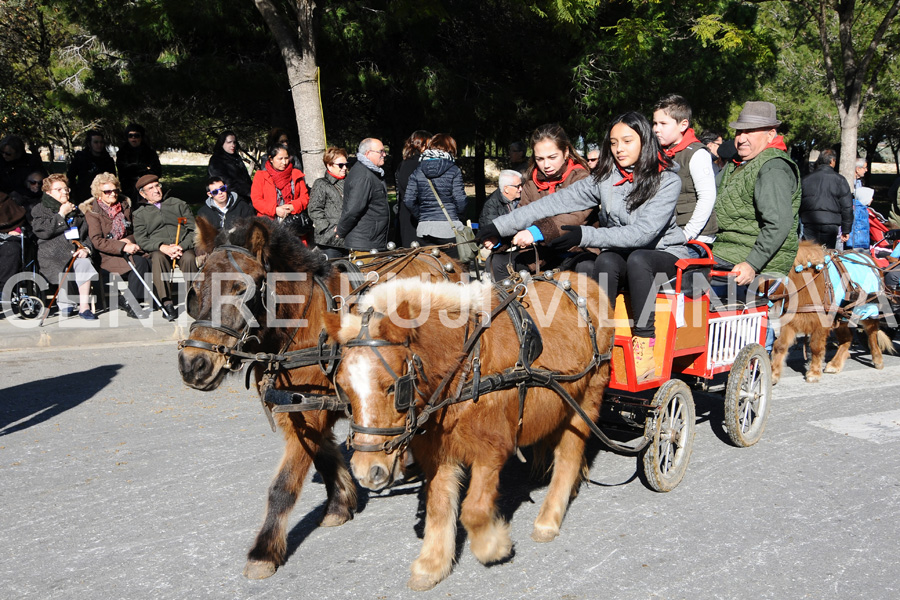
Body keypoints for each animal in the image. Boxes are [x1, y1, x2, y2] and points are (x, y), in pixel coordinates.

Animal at [178, 218, 458, 580]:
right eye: (196, 290)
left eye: (242, 290)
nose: (193, 364)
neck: (302, 323)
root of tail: (437, 255)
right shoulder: (303, 407)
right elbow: (323, 456)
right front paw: (340, 503)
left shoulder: (308, 411)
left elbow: (283, 486)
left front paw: (264, 551)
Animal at [324, 276, 612, 592]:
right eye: (343, 389)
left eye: (392, 387)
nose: (367, 471)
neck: (466, 367)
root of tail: (584, 281)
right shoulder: (438, 454)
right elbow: (438, 507)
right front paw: (432, 564)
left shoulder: (492, 448)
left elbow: (473, 511)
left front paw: (493, 545)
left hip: (586, 399)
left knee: (569, 456)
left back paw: (549, 518)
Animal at [768, 240, 896, 384]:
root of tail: (870, 259)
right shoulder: (791, 320)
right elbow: (780, 345)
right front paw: (773, 374)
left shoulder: (821, 322)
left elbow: (816, 347)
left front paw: (814, 373)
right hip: (842, 316)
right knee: (847, 338)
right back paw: (835, 364)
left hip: (868, 309)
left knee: (872, 333)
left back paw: (877, 359)